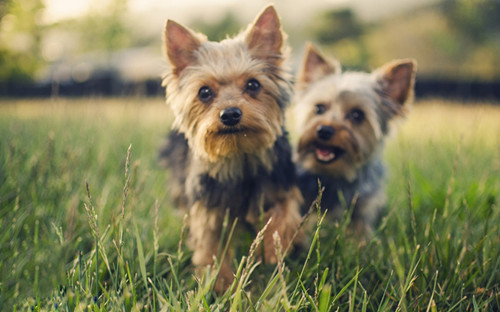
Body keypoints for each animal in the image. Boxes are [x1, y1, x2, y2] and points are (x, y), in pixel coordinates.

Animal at [160, 5, 302, 292]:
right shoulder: (208, 210)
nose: (230, 114)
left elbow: (283, 214)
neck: (238, 154)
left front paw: (272, 251)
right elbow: (211, 248)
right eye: (204, 92)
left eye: (253, 84)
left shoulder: (281, 184)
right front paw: (221, 286)